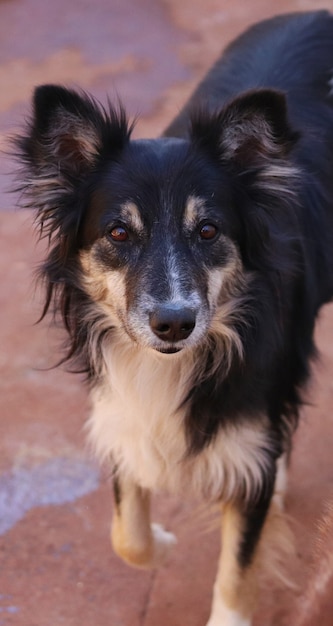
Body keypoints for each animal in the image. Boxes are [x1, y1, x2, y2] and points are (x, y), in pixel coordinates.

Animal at [14, 9, 332, 624]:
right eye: (118, 233)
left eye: (207, 231)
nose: (174, 323)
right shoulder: (122, 410)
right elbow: (127, 534)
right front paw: (161, 542)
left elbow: (237, 570)